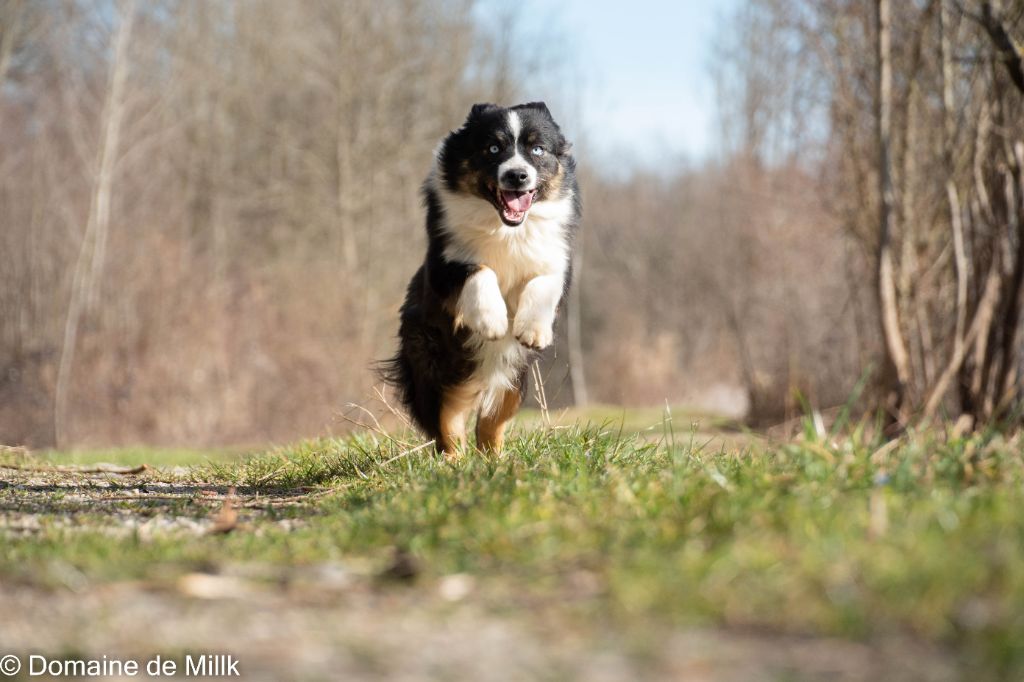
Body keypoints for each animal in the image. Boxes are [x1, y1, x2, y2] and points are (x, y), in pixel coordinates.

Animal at [381, 102, 580, 456]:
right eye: (493, 148)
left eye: (537, 149)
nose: (517, 175)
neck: (506, 229)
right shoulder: (442, 264)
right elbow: (480, 271)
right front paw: (492, 321)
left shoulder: (558, 260)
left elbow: (543, 281)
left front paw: (532, 330)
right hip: (433, 369)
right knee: (448, 427)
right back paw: (454, 462)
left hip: (514, 379)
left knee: (490, 423)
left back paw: (496, 461)